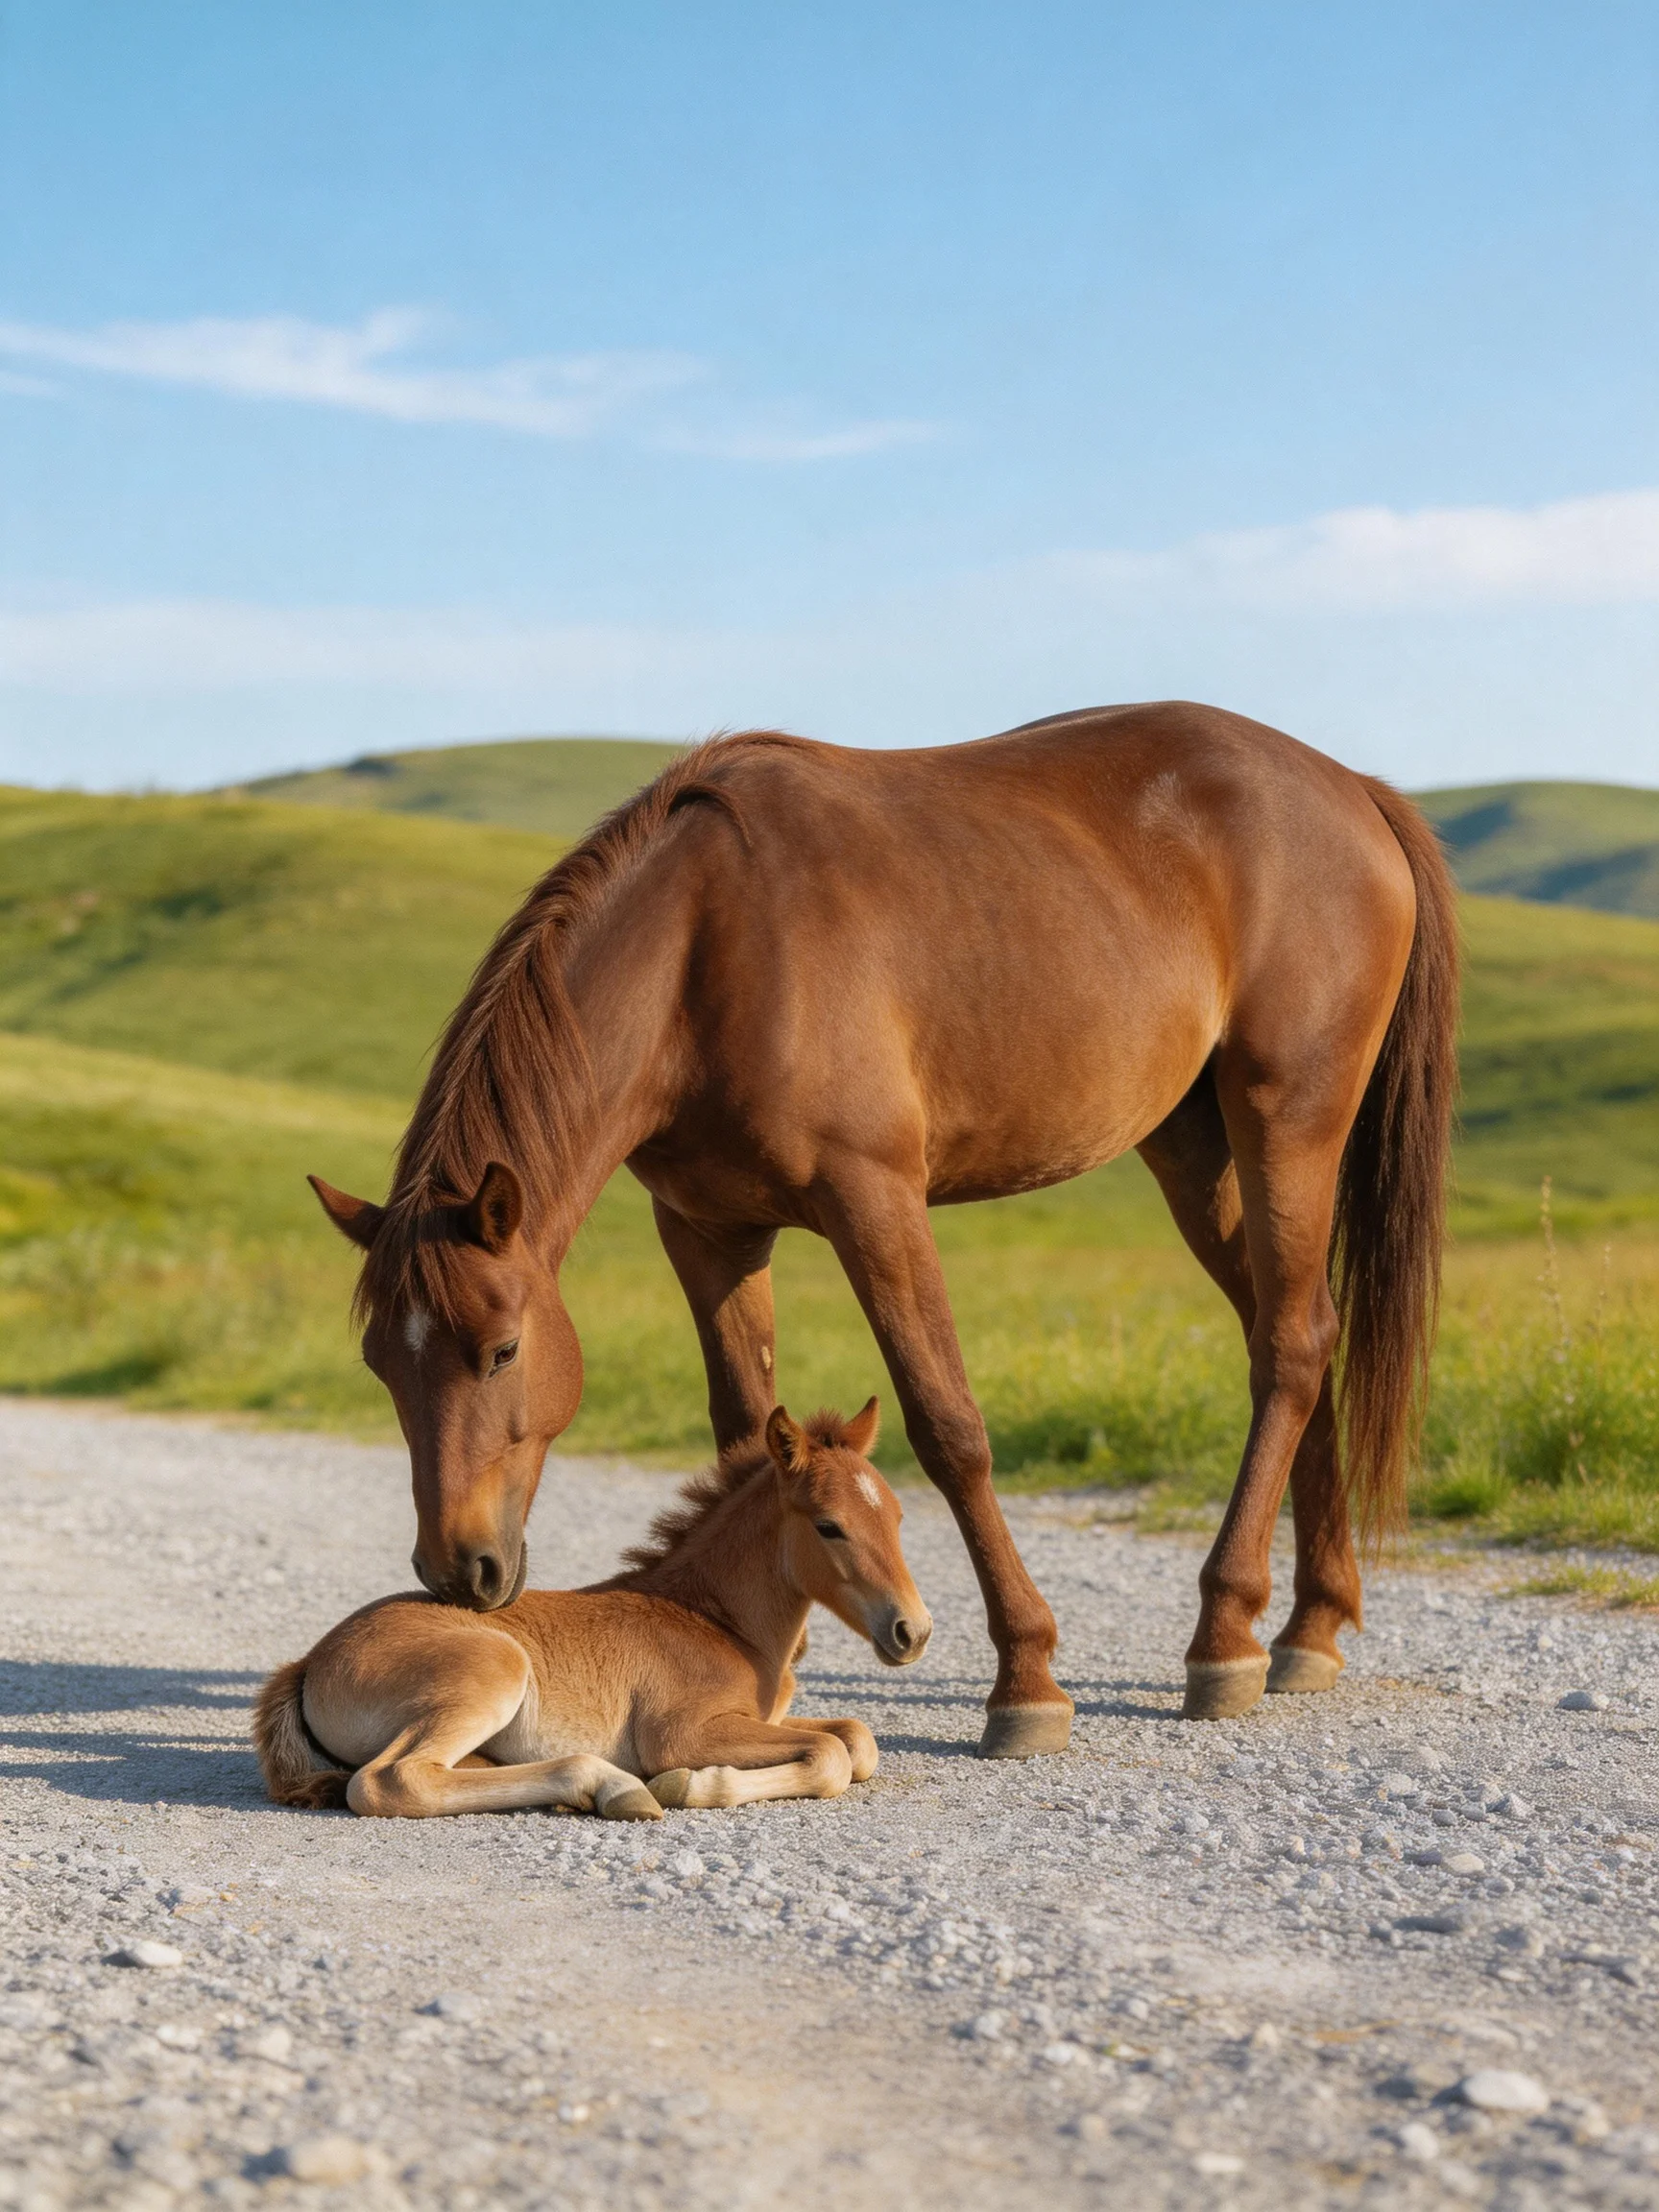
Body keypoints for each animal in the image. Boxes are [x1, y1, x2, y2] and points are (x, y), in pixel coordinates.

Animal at [254, 1398, 929, 1817]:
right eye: (829, 1525)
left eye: (899, 1516)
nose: (912, 1631)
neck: (721, 1623)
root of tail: (309, 1663)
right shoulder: (683, 1732)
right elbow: (833, 1756)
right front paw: (689, 1784)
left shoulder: (764, 1718)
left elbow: (856, 1737)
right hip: (493, 1671)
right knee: (390, 1780)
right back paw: (614, 1788)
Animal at [308, 703, 1458, 1753]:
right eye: (378, 1366)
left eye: (502, 1350)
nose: (457, 1572)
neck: (708, 949)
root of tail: (1356, 790)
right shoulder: (710, 1233)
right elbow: (747, 1438)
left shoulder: (875, 1201)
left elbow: (949, 1428)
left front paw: (1026, 1678)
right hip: (1194, 1152)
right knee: (1299, 1335)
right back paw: (1308, 1625)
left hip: (1286, 1125)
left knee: (1290, 1347)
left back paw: (1224, 1636)